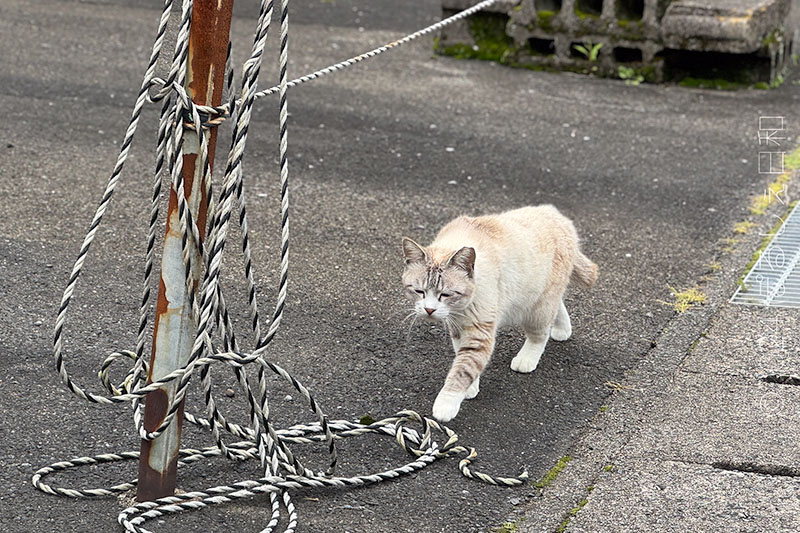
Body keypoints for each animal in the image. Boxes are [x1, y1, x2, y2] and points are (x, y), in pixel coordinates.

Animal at [400, 206, 592, 422]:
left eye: (446, 294)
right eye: (419, 291)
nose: (429, 310)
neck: (460, 309)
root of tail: (555, 214)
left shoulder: (479, 332)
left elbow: (463, 368)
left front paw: (446, 404)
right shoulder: (457, 327)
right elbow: (463, 357)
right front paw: (470, 387)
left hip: (537, 309)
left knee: (539, 334)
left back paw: (527, 358)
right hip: (540, 296)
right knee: (558, 304)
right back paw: (562, 329)